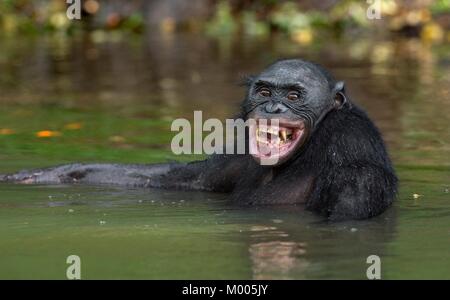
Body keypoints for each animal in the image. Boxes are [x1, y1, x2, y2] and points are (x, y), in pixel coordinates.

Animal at [0, 59, 398, 221]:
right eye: (264, 91)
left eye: (294, 95)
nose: (271, 106)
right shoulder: (236, 159)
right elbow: (183, 179)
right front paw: (46, 174)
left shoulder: (350, 141)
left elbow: (351, 203)